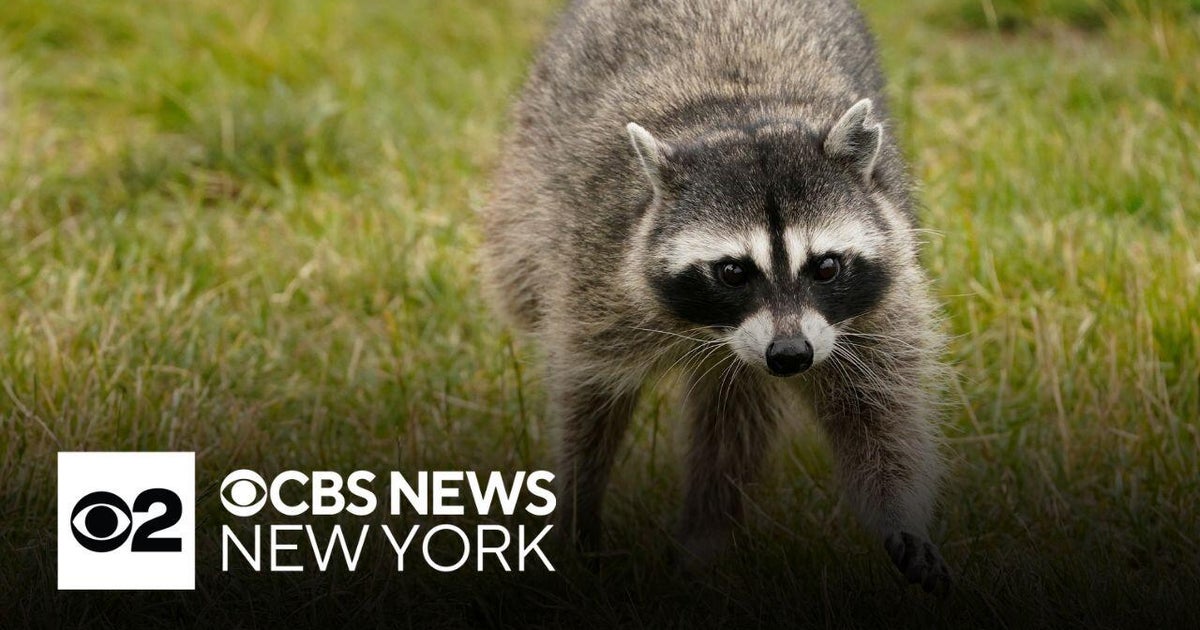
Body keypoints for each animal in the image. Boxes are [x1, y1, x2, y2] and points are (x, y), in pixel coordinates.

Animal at [481, 0, 950, 592]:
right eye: (732, 272)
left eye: (825, 266)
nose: (791, 355)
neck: (743, 111)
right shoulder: (597, 269)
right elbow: (589, 396)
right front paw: (576, 512)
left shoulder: (877, 299)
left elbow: (879, 412)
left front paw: (900, 516)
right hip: (530, 175)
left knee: (736, 416)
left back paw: (707, 537)